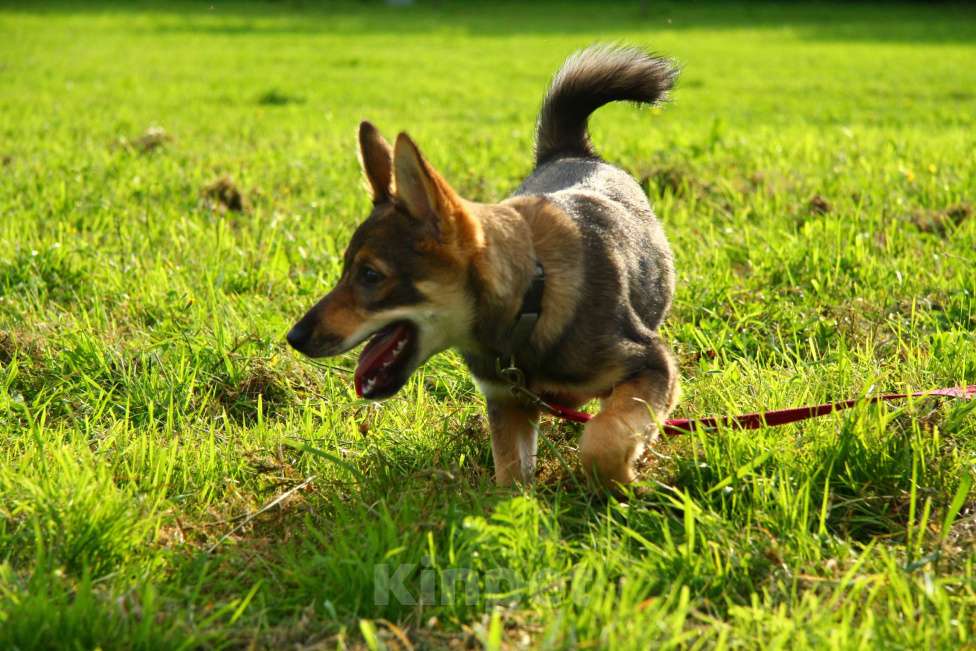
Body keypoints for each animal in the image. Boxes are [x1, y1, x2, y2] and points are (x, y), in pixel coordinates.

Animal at [290, 45, 680, 486]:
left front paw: (626, 479)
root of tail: (571, 151)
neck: (532, 298)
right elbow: (511, 479)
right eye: (344, 271)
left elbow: (602, 440)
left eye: (370, 275)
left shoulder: (653, 364)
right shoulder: (506, 400)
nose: (293, 337)